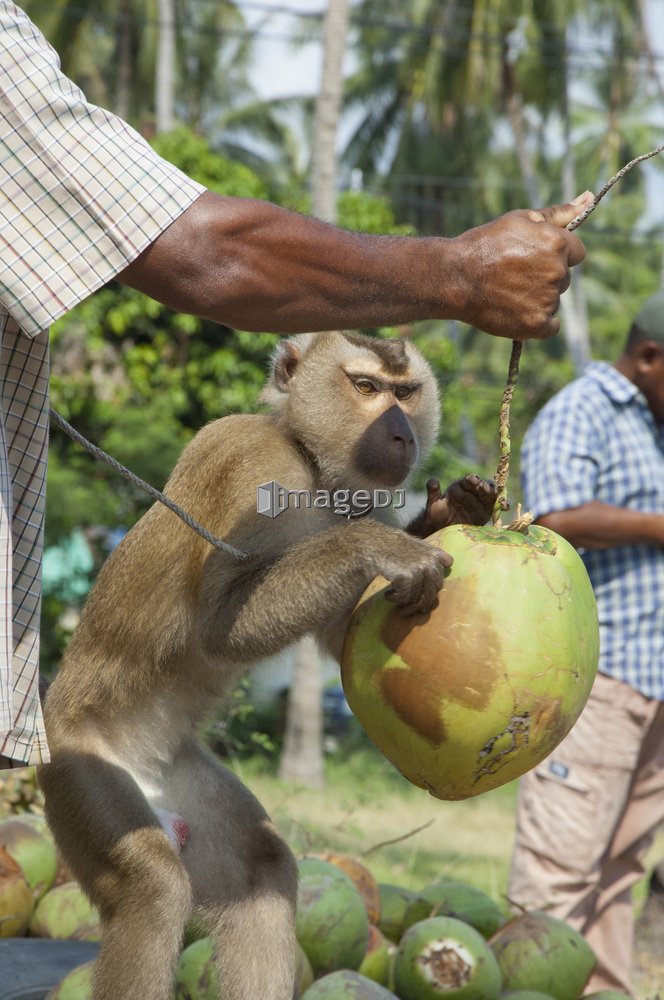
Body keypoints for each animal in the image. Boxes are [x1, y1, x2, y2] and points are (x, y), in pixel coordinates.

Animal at [37, 332, 504, 1000]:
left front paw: (452, 512)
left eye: (406, 391)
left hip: (175, 778)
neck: (310, 464)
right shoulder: (253, 468)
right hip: (77, 767)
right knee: (152, 889)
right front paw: (370, 548)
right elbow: (221, 622)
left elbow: (348, 629)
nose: (398, 433)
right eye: (366, 387)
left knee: (259, 869)